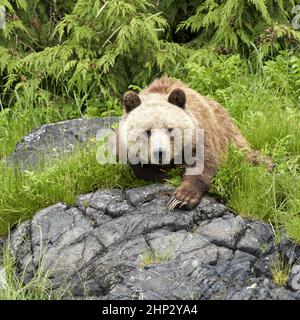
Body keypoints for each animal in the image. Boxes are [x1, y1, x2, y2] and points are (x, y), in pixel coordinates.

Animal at [115, 75, 272, 210]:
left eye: (170, 129)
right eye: (147, 131)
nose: (159, 152)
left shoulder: (200, 135)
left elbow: (203, 163)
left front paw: (181, 198)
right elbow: (141, 170)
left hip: (230, 136)